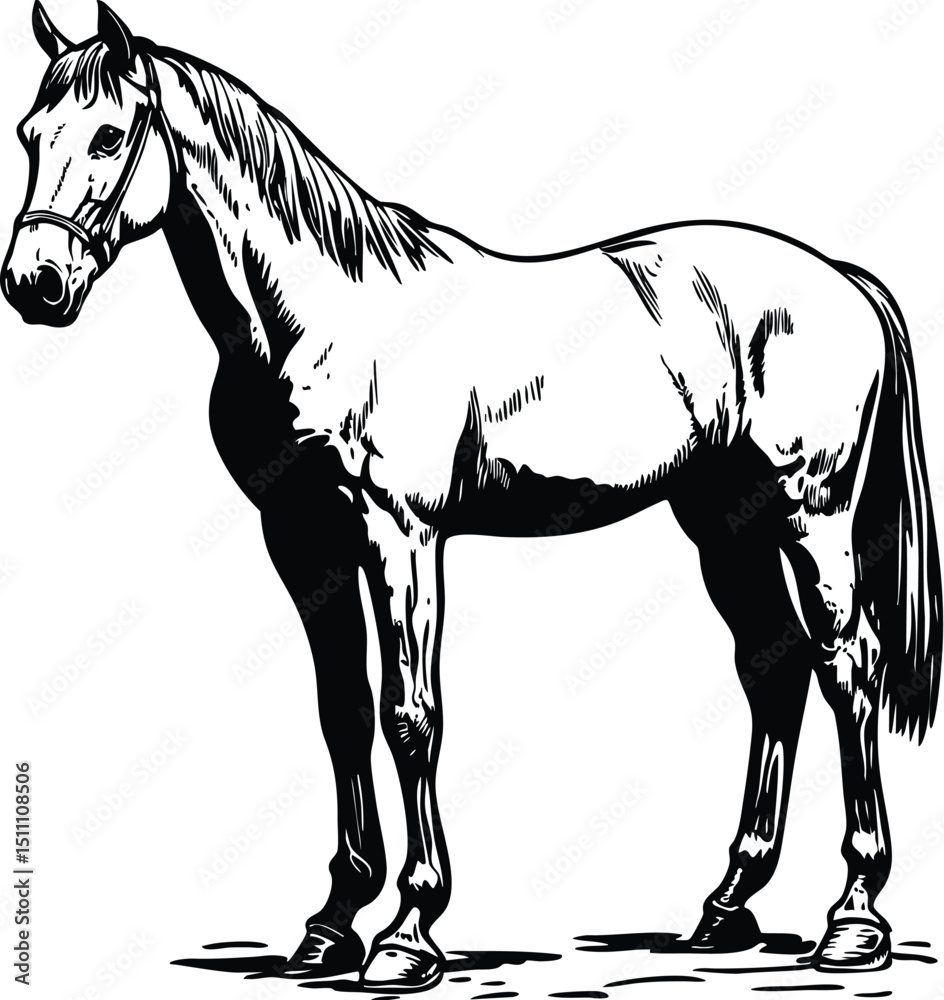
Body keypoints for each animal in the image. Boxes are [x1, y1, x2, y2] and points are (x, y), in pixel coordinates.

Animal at [3, 3, 941, 991]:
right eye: (30, 133)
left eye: (110, 135)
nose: (34, 284)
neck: (323, 319)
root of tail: (841, 276)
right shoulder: (302, 539)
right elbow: (342, 713)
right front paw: (332, 922)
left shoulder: (401, 535)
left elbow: (410, 717)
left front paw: (408, 932)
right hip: (725, 523)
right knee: (774, 667)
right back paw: (727, 905)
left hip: (812, 512)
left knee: (849, 666)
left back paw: (855, 918)